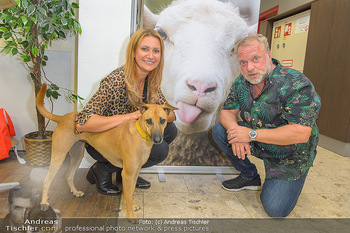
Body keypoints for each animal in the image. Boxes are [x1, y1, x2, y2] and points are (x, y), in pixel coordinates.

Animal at [36, 84, 178, 220]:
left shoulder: (135, 172)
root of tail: (62, 118)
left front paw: (132, 206)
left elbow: (131, 192)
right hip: (58, 156)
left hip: (77, 155)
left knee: (69, 176)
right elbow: (128, 195)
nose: (158, 140)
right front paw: (131, 216)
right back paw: (44, 203)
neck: (140, 134)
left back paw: (75, 192)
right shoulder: (128, 174)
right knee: (46, 181)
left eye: (162, 120)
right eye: (148, 121)